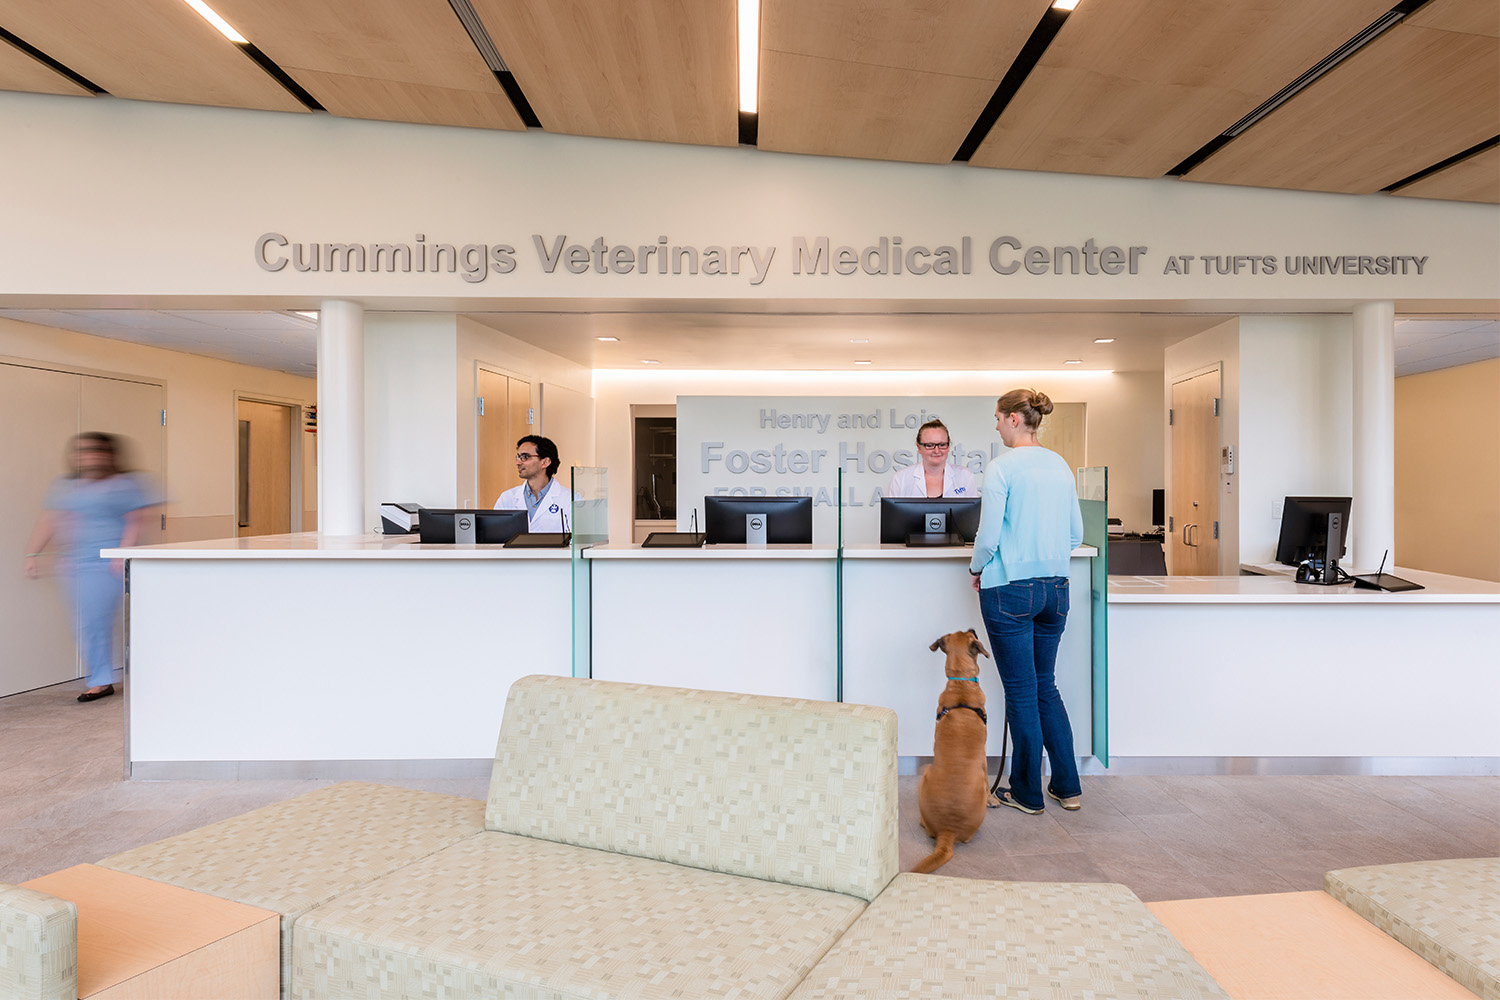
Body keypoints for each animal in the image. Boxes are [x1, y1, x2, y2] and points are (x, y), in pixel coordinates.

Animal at [912, 632, 996, 875]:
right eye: (971, 634)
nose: (973, 628)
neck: (961, 684)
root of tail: (947, 830)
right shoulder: (984, 755)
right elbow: (988, 780)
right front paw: (992, 798)